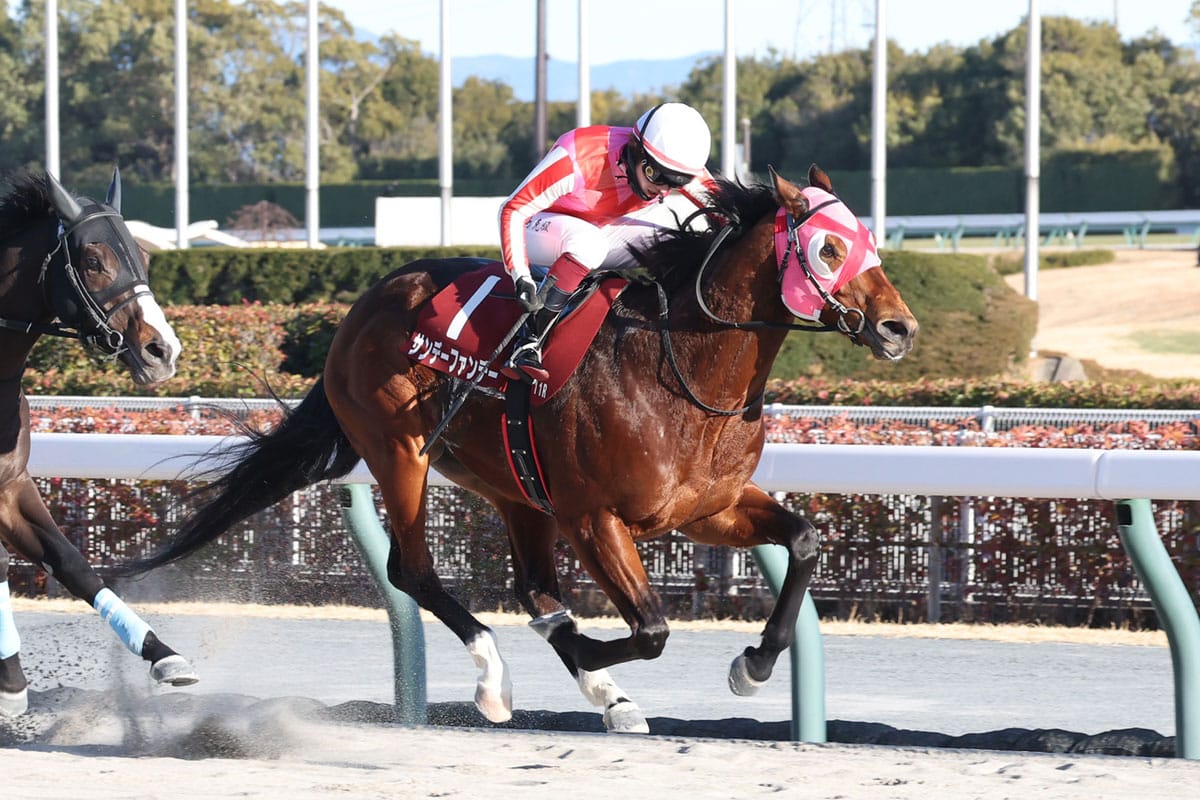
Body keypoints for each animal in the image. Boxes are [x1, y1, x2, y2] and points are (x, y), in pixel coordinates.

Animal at [0, 169, 198, 717]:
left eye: (144, 257)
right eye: (93, 261)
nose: (162, 350)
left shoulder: (11, 485)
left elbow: (72, 563)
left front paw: (163, 655)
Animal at [130, 165, 917, 732]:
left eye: (873, 244)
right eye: (829, 248)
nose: (900, 327)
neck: (681, 367)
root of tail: (368, 300)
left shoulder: (706, 509)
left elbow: (805, 542)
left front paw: (752, 664)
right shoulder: (595, 518)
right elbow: (651, 627)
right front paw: (593, 654)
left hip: (513, 485)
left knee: (531, 586)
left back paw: (602, 692)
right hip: (400, 449)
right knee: (415, 570)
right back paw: (497, 680)